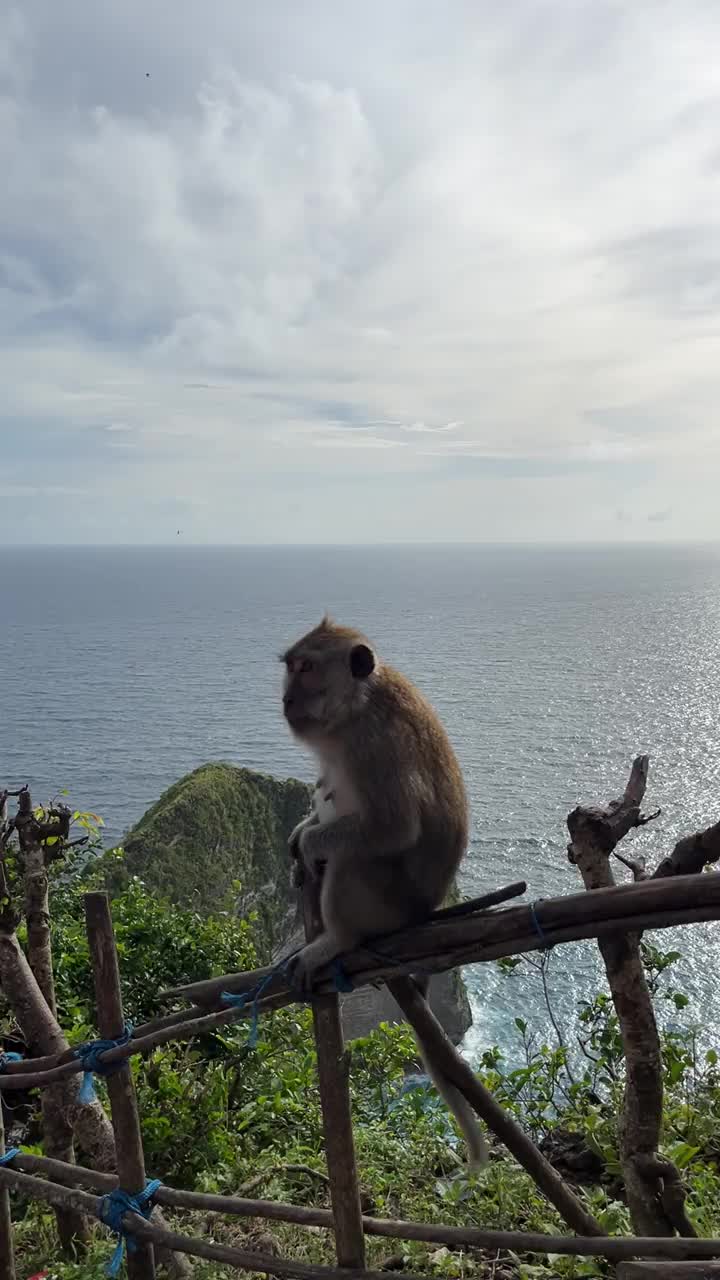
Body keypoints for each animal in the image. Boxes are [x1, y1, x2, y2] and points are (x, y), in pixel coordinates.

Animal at [280, 619, 486, 1172]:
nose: (286, 698)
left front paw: (309, 841)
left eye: (307, 668)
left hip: (389, 902)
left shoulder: (374, 746)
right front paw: (300, 833)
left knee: (353, 859)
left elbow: (393, 828)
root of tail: (424, 914)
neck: (355, 707)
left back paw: (336, 939)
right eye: (291, 667)